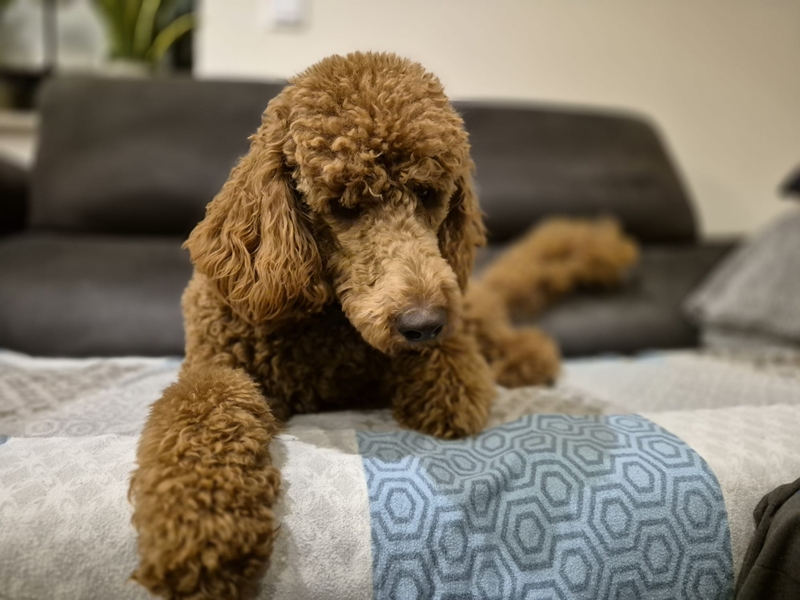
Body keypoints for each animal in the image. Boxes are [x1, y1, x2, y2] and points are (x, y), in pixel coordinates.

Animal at [129, 51, 637, 599]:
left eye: (429, 194)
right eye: (343, 206)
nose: (424, 323)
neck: (328, 327)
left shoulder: (446, 342)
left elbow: (452, 385)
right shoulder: (216, 364)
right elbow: (203, 410)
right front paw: (202, 531)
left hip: (471, 306)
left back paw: (525, 355)